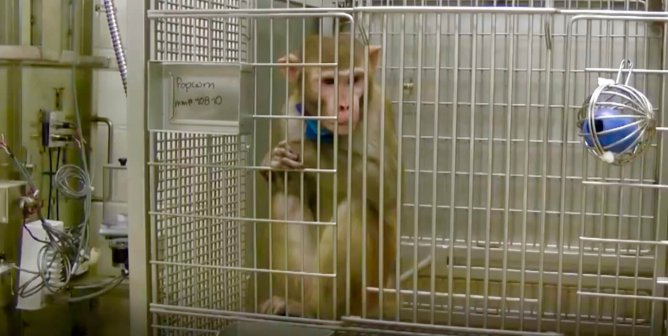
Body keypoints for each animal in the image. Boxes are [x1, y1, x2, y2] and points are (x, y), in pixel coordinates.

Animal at [258, 33, 400, 320]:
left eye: (355, 79)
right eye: (328, 82)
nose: (345, 106)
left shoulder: (378, 110)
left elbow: (386, 185)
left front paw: (306, 149)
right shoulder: (289, 113)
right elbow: (294, 186)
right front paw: (273, 163)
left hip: (367, 296)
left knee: (355, 209)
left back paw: (327, 312)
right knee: (285, 200)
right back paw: (299, 306)